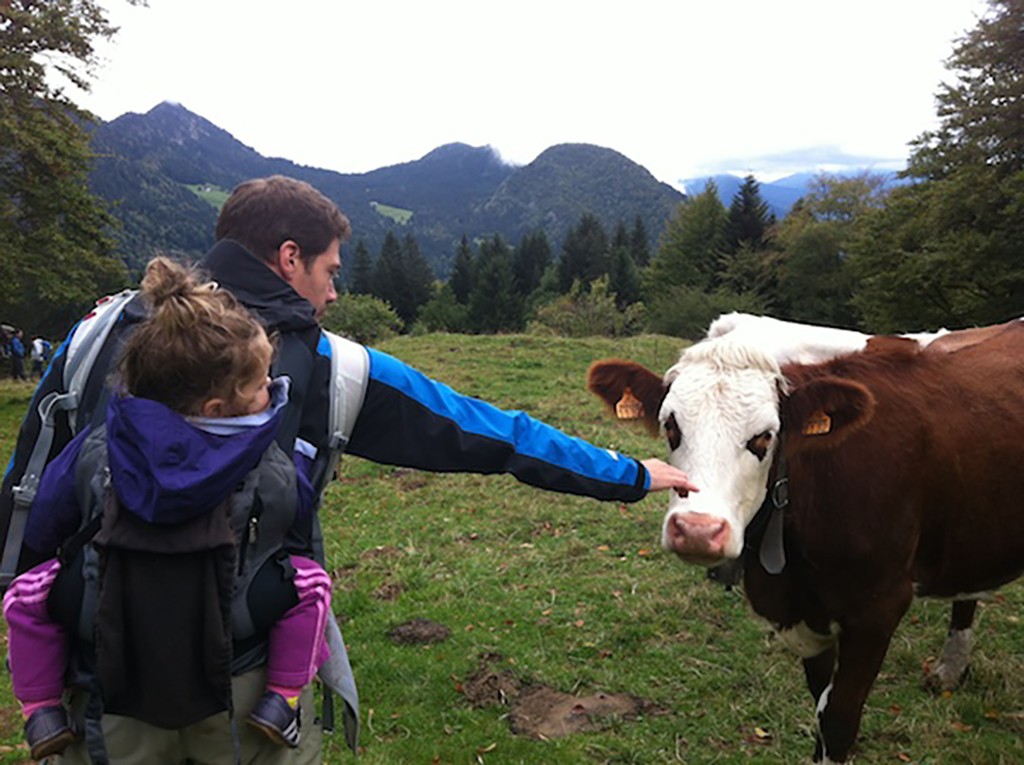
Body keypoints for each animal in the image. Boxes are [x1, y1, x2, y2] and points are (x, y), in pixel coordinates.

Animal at [589, 313, 1024, 761]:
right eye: (671, 426)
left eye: (764, 436)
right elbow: (821, 706)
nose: (697, 530)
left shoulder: (879, 606)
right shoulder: (805, 611)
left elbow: (838, 719)